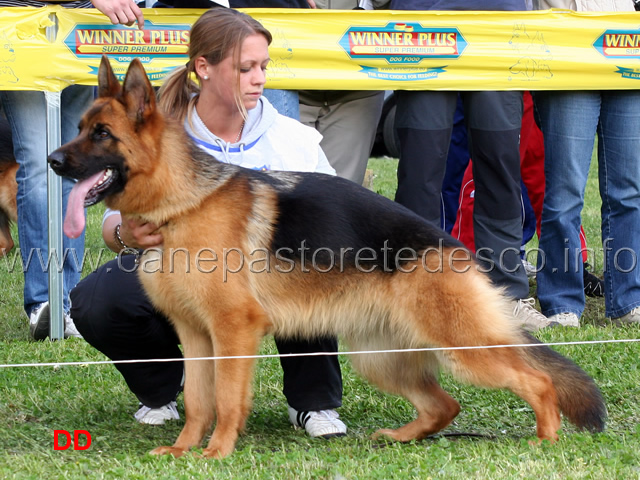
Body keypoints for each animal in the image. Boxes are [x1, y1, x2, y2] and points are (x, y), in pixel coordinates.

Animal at [48, 58, 604, 460]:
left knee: (535, 380)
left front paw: (217, 454)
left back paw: (545, 440)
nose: (53, 161)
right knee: (446, 404)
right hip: (380, 358)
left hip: (461, 348)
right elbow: (198, 401)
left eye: (102, 134)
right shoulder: (197, 336)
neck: (183, 203)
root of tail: (452, 247)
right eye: (78, 127)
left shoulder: (232, 332)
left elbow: (225, 400)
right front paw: (184, 451)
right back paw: (401, 438)